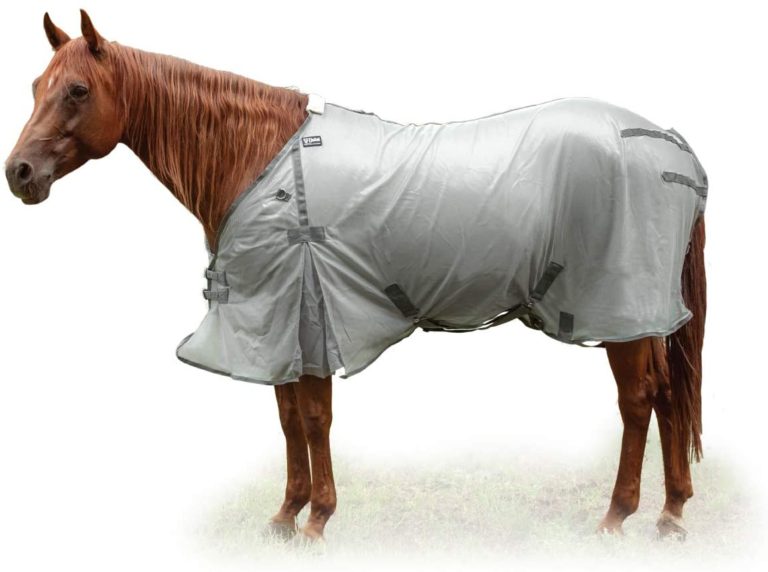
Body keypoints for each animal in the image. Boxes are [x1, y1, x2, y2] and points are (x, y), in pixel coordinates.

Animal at [5, 10, 706, 543]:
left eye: (78, 91)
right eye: (37, 83)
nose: (19, 174)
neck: (258, 162)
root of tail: (669, 143)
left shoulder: (306, 312)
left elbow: (315, 417)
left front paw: (317, 521)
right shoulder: (277, 328)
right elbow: (289, 417)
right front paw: (284, 517)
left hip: (619, 307)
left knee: (639, 398)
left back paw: (617, 517)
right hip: (644, 315)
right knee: (671, 394)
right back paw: (671, 515)